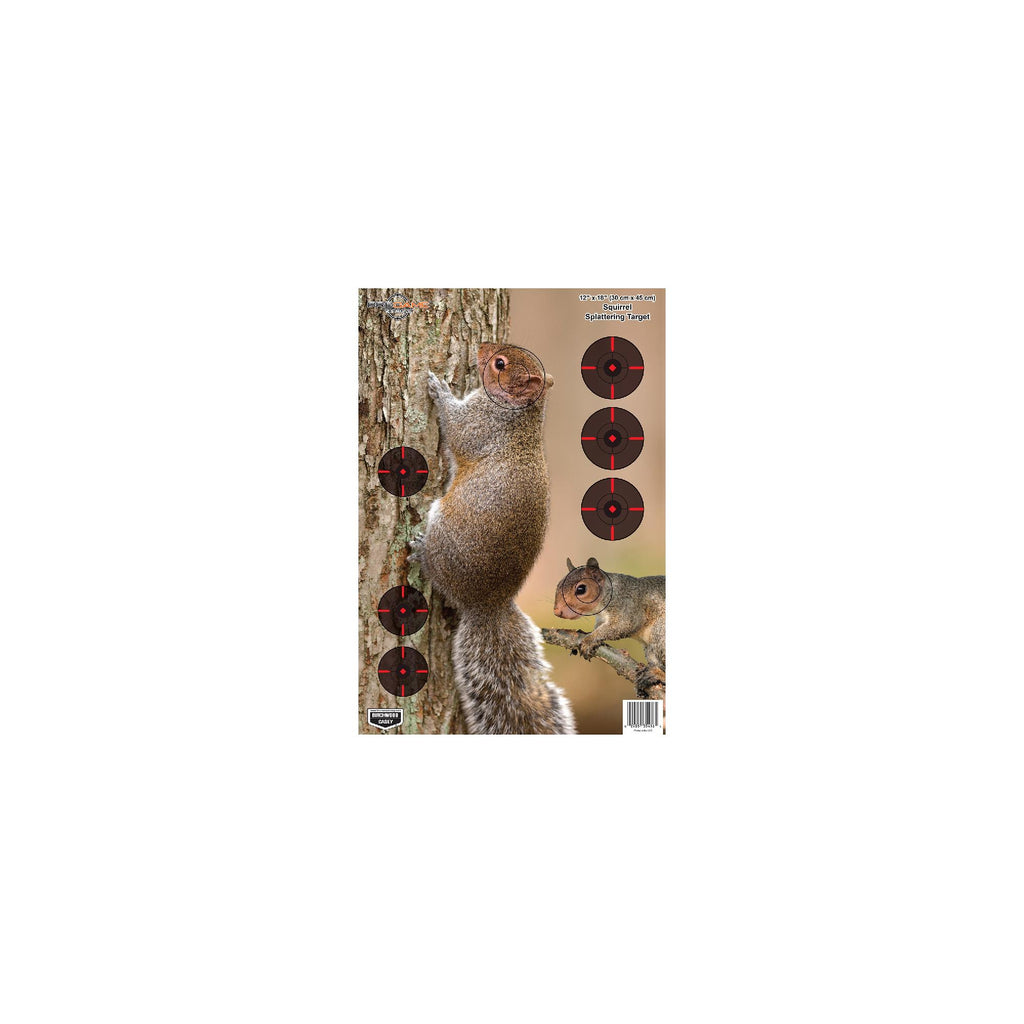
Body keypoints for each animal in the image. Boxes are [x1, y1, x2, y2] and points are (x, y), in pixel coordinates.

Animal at [409, 342, 576, 735]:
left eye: (500, 364)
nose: (482, 348)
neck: (521, 415)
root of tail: (488, 603)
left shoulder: (480, 425)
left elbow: (456, 429)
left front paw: (439, 389)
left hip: (443, 533)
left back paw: (420, 552)